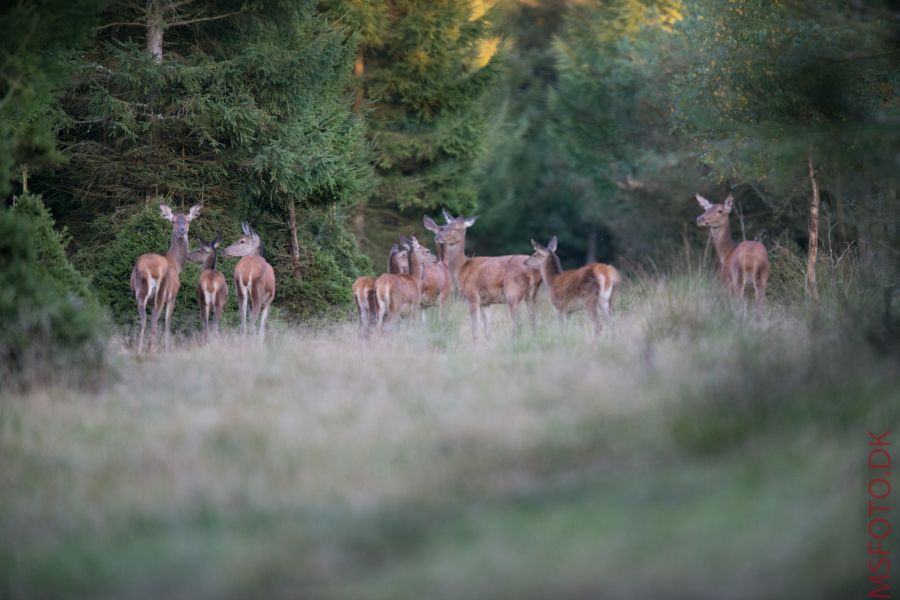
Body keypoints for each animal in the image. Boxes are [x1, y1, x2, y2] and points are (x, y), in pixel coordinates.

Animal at [428, 211, 540, 342]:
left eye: (456, 228)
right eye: (444, 226)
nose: (437, 237)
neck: (461, 268)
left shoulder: (472, 295)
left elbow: (475, 329)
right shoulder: (485, 302)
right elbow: (488, 331)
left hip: (512, 292)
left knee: (518, 323)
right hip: (532, 295)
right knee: (533, 322)